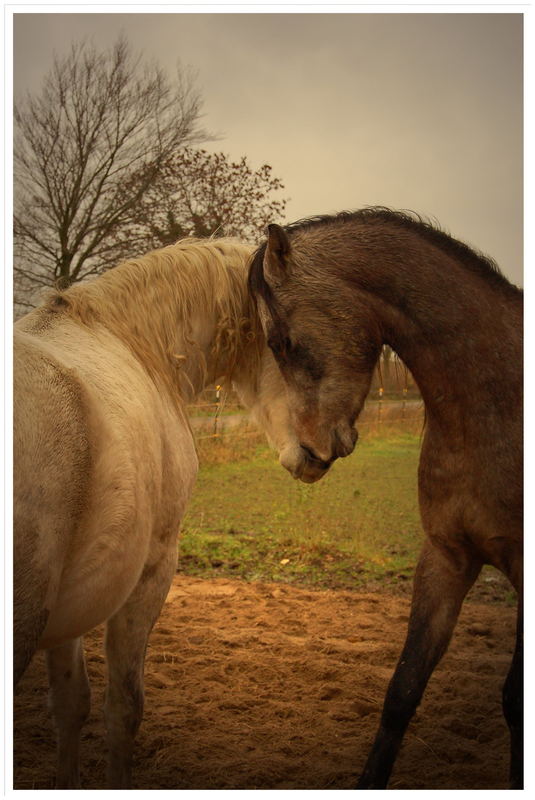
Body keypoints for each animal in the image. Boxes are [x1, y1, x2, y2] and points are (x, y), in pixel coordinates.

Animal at [12, 238, 316, 788]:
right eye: (289, 341)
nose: (323, 449)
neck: (138, 346)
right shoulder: (152, 570)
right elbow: (123, 708)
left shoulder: (73, 599)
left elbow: (70, 704)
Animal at [250, 209, 524, 792]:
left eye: (282, 341)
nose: (300, 456)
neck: (497, 398)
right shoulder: (446, 557)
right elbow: (402, 690)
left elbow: (514, 701)